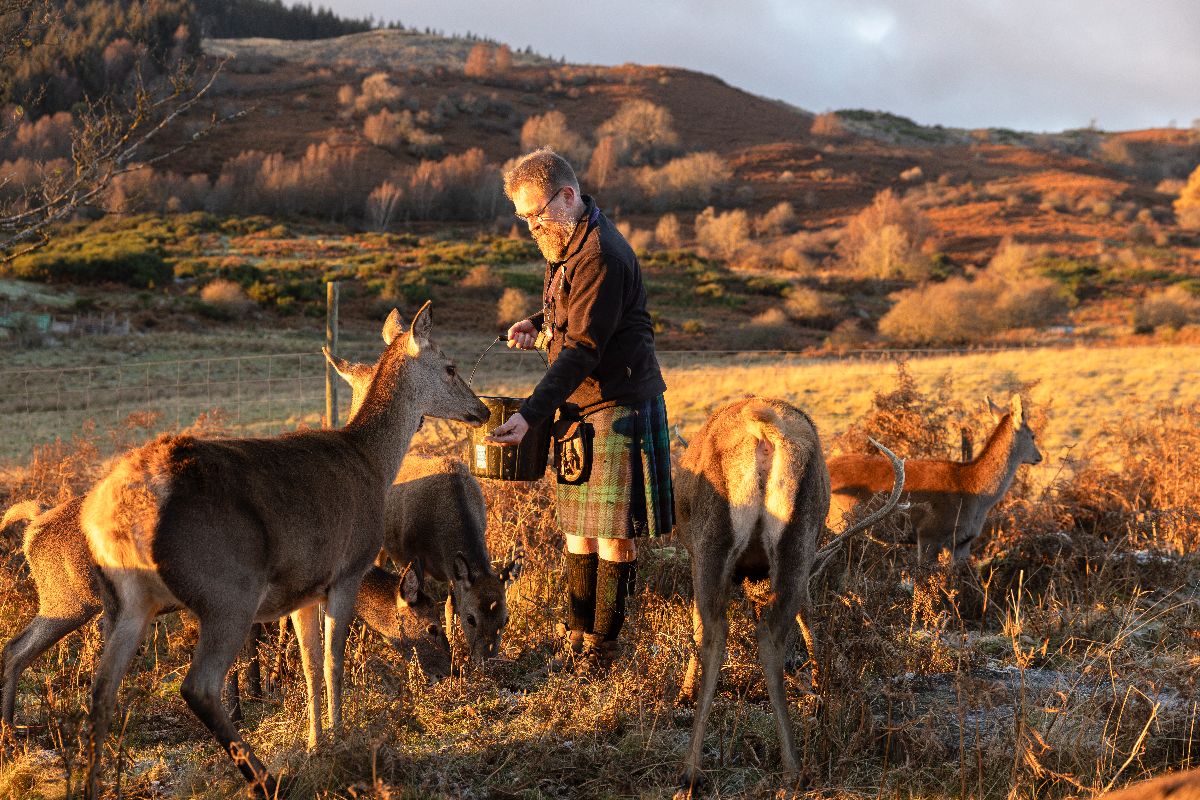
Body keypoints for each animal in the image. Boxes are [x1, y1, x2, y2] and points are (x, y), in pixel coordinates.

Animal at [0, 497, 450, 732]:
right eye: (432, 628)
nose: (449, 672)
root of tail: (31, 531)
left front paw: (253, 696)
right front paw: (241, 707)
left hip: (64, 600)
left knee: (15, 648)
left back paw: (11, 727)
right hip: (72, 599)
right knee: (24, 648)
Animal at [78, 302, 488, 800]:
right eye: (450, 367)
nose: (483, 409)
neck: (372, 464)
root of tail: (115, 508)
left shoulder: (302, 591)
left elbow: (310, 665)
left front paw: (315, 742)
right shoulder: (347, 570)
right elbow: (332, 662)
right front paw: (340, 741)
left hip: (132, 598)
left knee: (101, 690)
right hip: (227, 589)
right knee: (198, 685)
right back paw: (266, 779)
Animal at [324, 348, 522, 664]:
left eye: (505, 619)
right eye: (472, 619)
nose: (486, 660)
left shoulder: (454, 571)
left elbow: (450, 603)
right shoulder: (410, 554)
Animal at [673, 397, 904, 796]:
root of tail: (763, 431)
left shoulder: (692, 553)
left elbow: (696, 623)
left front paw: (684, 693)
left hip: (710, 538)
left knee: (717, 633)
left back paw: (695, 771)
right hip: (800, 534)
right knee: (770, 630)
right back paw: (793, 763)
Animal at [826, 393, 1041, 562]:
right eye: (1033, 435)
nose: (1039, 457)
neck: (974, 490)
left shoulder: (963, 542)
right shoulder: (929, 532)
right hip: (837, 521)